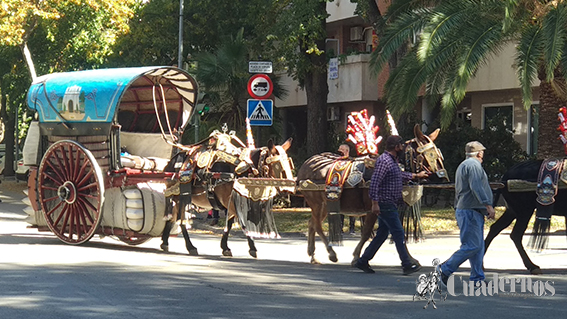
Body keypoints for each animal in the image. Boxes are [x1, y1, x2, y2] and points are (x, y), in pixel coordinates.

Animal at [296, 125, 450, 264]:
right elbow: (366, 233)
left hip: (324, 205)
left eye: (438, 152)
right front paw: (356, 256)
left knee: (311, 223)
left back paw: (313, 255)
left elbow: (396, 232)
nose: (444, 176)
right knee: (317, 225)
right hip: (316, 202)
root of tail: (305, 166)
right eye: (430, 154)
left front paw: (411, 258)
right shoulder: (372, 209)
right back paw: (331, 253)